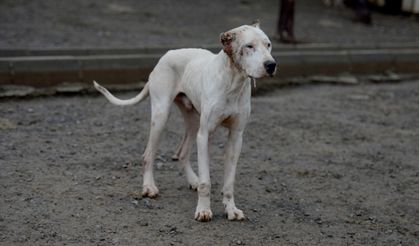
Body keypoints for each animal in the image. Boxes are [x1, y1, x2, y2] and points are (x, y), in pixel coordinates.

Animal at [94, 21, 278, 221]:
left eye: (268, 44)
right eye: (249, 46)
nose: (271, 65)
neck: (233, 82)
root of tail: (165, 55)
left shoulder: (236, 138)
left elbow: (229, 182)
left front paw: (231, 209)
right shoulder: (204, 136)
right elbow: (206, 182)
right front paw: (203, 210)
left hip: (193, 121)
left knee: (182, 153)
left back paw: (192, 180)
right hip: (161, 117)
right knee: (148, 154)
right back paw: (149, 187)